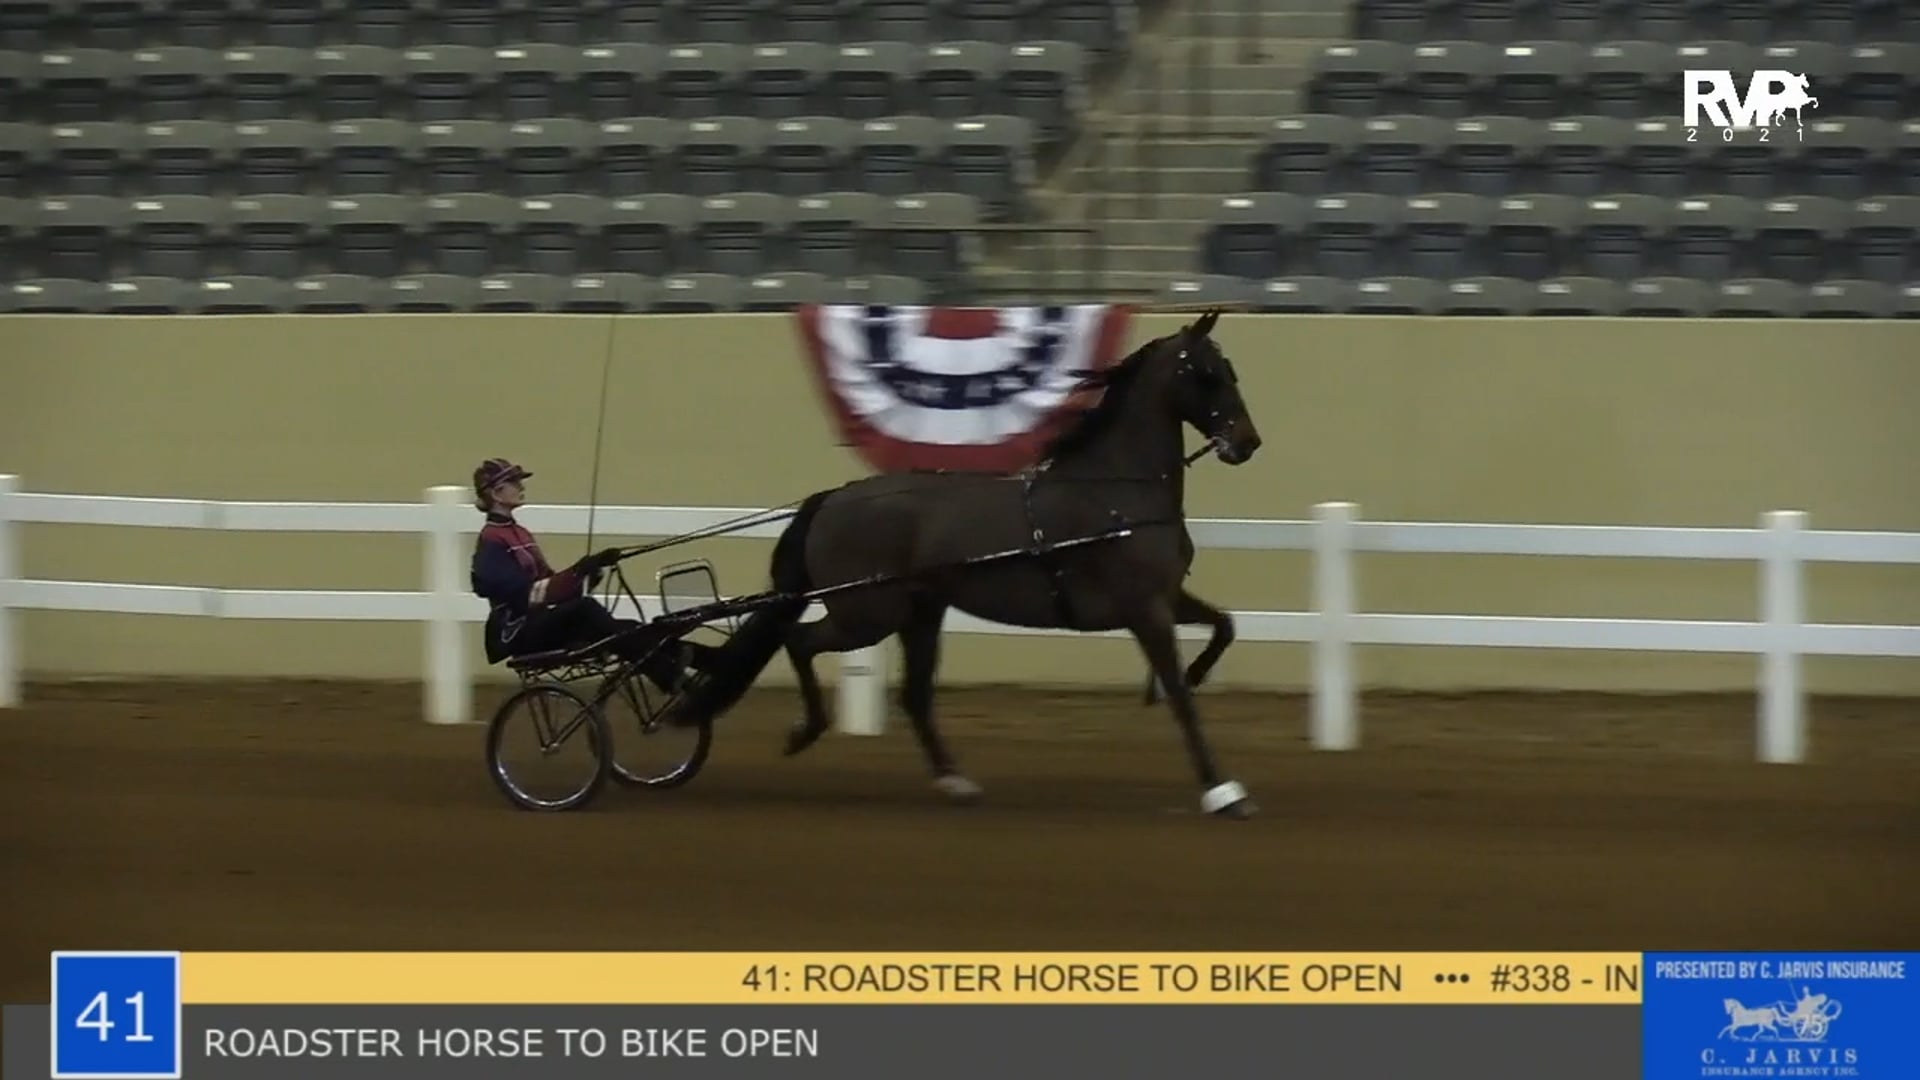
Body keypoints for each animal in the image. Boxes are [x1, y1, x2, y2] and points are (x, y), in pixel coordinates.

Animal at [664, 308, 1265, 819]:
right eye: (1207, 374)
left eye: (1231, 369)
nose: (1247, 443)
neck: (1116, 494)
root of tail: (835, 498)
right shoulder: (1145, 610)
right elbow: (1183, 699)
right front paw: (1223, 790)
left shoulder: (1166, 598)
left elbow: (1224, 626)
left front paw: (1188, 678)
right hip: (868, 613)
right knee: (802, 642)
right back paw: (806, 729)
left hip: (919, 613)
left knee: (913, 694)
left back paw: (955, 781)